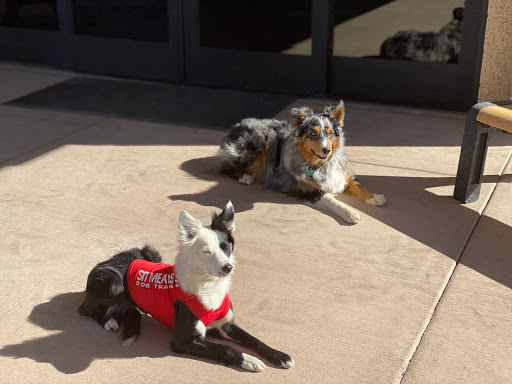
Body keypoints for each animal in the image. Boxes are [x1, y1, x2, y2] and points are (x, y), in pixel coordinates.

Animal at [78, 202, 294, 370]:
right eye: (206, 252)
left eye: (225, 247)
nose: (228, 267)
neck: (208, 284)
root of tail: (110, 259)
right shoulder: (184, 340)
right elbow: (225, 348)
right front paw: (249, 360)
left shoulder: (225, 325)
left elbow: (252, 339)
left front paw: (278, 355)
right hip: (112, 281)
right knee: (85, 309)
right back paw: (109, 321)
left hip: (151, 254)